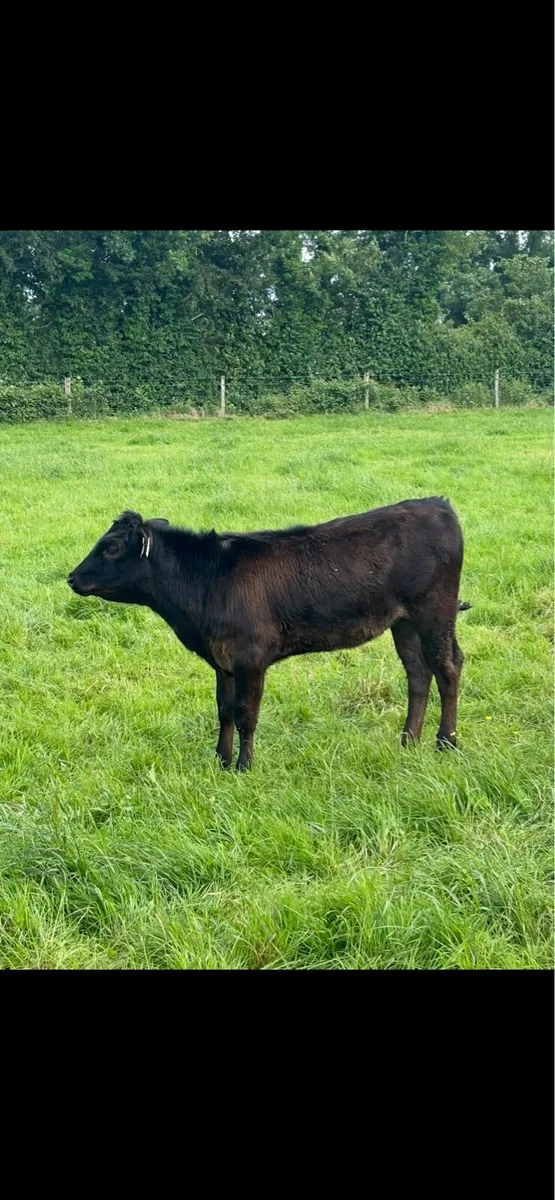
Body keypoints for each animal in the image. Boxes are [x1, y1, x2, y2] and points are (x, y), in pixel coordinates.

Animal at [67, 498, 470, 770]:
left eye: (111, 547)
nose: (72, 577)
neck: (208, 581)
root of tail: (437, 504)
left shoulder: (252, 656)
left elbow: (246, 712)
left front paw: (244, 766)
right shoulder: (222, 660)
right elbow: (224, 710)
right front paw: (220, 760)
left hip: (434, 611)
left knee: (448, 668)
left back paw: (445, 742)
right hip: (404, 622)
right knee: (418, 673)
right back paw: (408, 741)